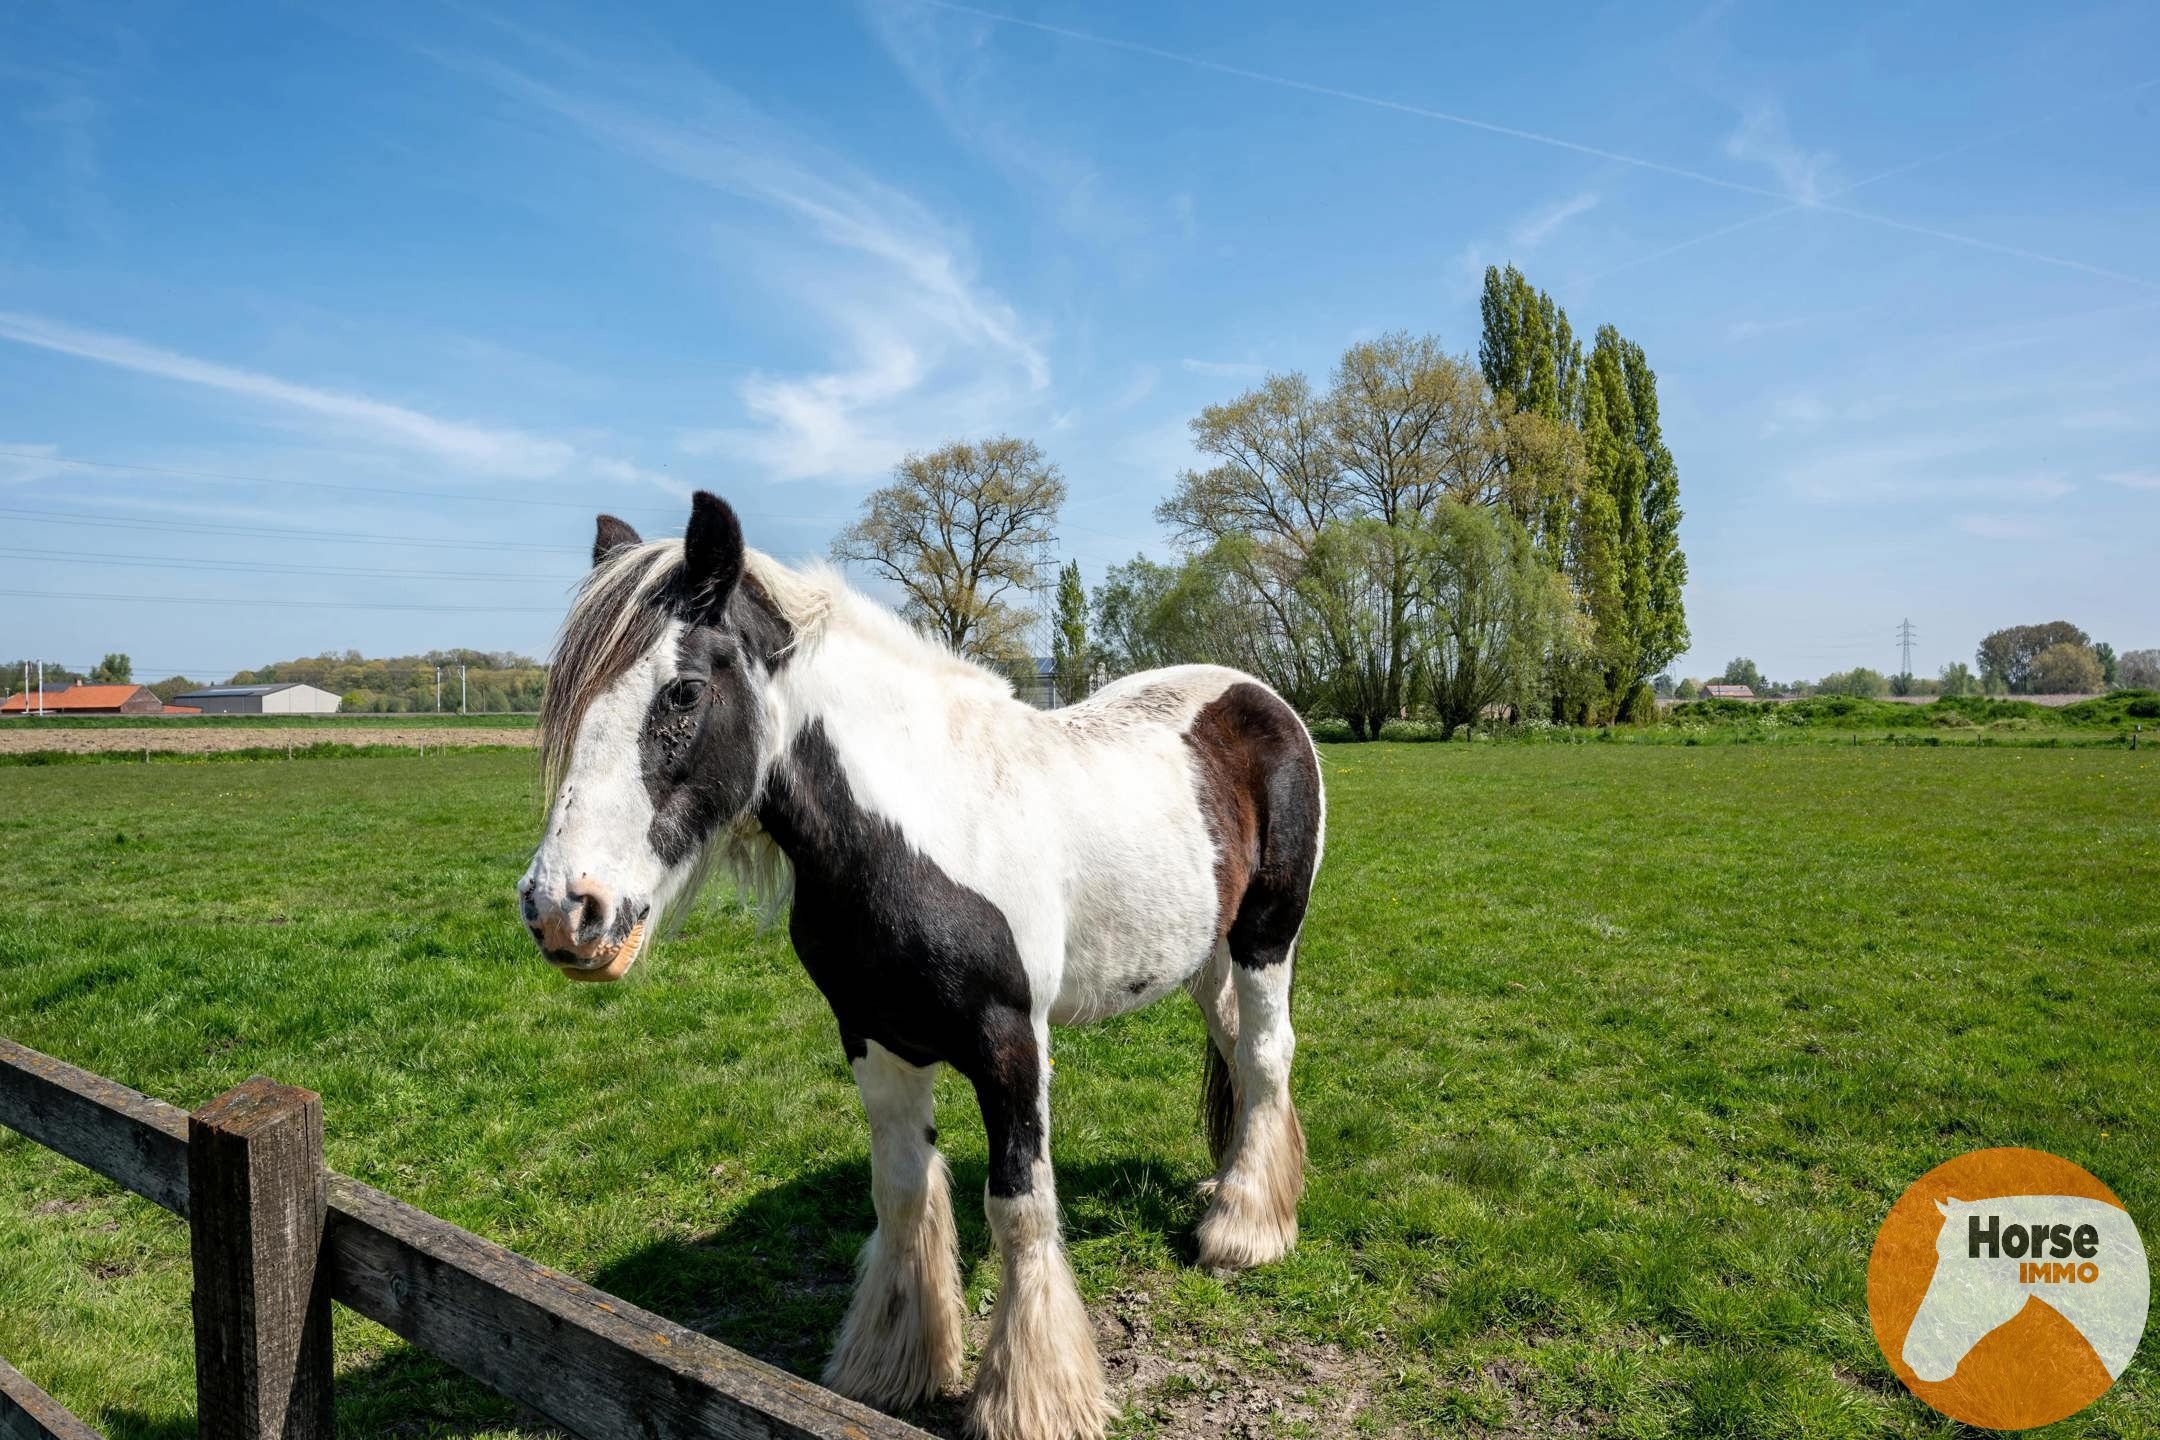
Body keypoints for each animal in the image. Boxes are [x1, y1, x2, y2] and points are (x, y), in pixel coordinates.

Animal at [522, 496, 1321, 1440]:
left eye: (681, 691)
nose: (562, 910)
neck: (914, 833)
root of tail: (1257, 694)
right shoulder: (875, 1036)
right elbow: (902, 1193)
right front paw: (892, 1366)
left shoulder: (1012, 1044)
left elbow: (1020, 1208)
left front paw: (1030, 1398)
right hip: (1202, 954)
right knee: (1236, 1052)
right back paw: (1226, 1187)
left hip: (1265, 938)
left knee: (1266, 1057)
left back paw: (1242, 1230)